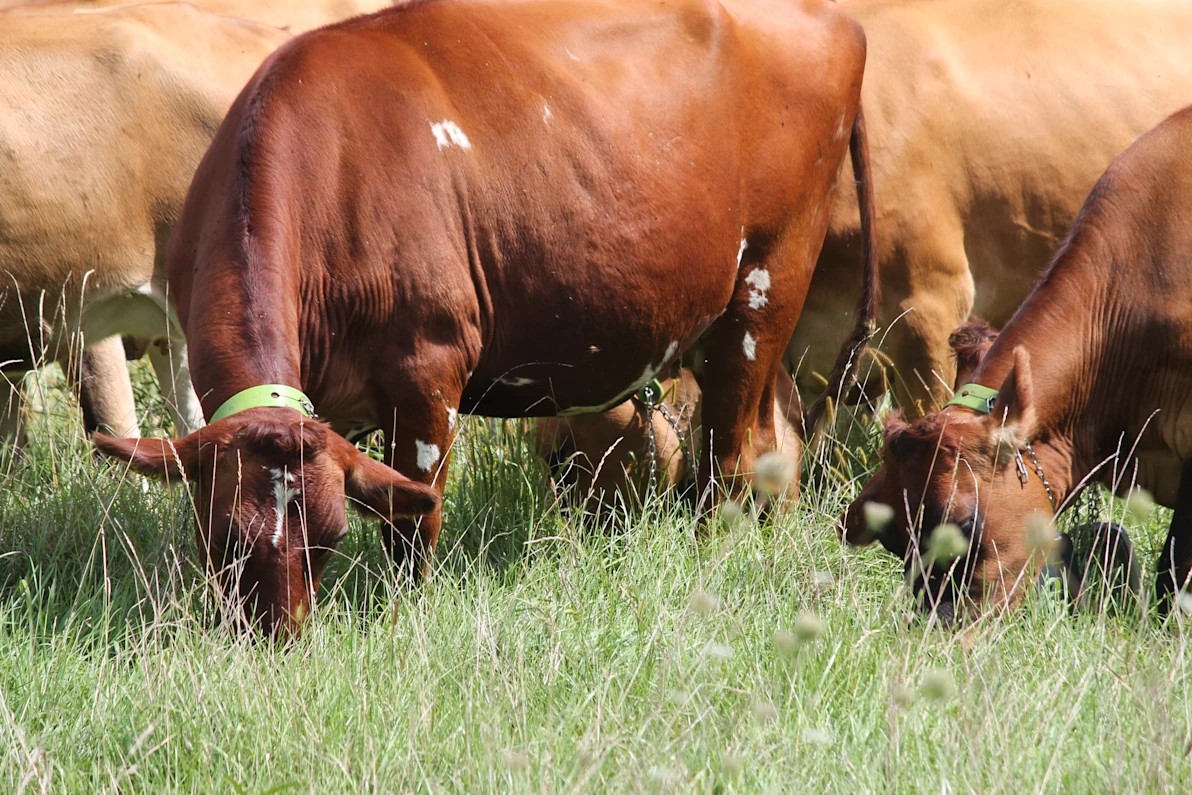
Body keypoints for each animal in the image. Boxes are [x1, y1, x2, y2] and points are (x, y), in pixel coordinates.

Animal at [94, 0, 879, 635]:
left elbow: (414, 516)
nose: (274, 639)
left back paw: (710, 557)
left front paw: (402, 615)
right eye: (222, 536)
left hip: (770, 281)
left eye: (330, 536)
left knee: (727, 456)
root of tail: (837, 17)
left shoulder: (428, 368)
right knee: (770, 437)